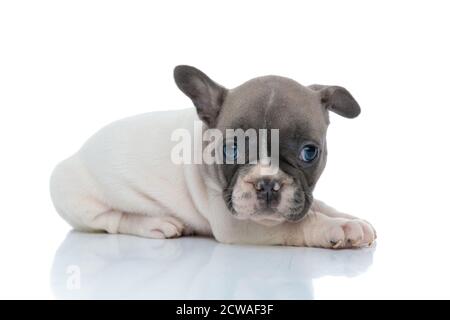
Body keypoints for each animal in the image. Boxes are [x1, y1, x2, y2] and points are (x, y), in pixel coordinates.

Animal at [51, 65, 376, 249]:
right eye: (231, 149)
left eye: (309, 152)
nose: (266, 184)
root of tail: (80, 150)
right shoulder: (238, 223)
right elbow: (299, 224)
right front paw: (338, 227)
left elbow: (318, 205)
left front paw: (351, 218)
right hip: (70, 193)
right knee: (112, 220)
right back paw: (156, 224)